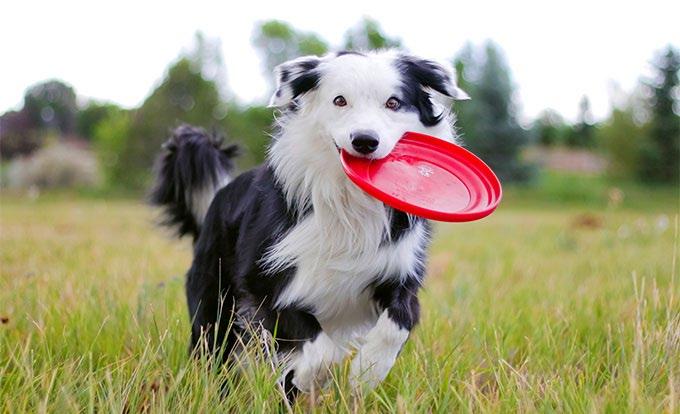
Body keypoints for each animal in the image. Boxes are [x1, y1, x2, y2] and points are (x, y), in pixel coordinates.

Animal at [150, 49, 468, 402]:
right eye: (340, 100)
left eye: (393, 103)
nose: (365, 141)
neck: (349, 201)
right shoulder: (263, 284)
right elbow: (321, 351)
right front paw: (311, 377)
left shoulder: (399, 273)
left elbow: (398, 323)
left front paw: (365, 374)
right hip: (214, 301)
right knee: (213, 351)